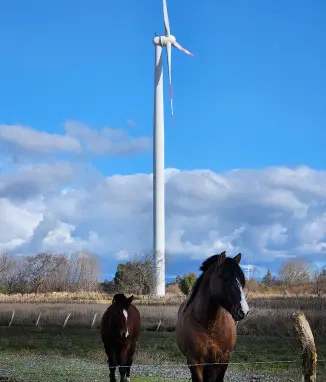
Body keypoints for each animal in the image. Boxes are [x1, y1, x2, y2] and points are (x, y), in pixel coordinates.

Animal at [176, 252, 250, 380]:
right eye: (225, 279)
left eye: (242, 281)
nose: (244, 311)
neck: (210, 325)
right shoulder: (194, 362)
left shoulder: (222, 360)